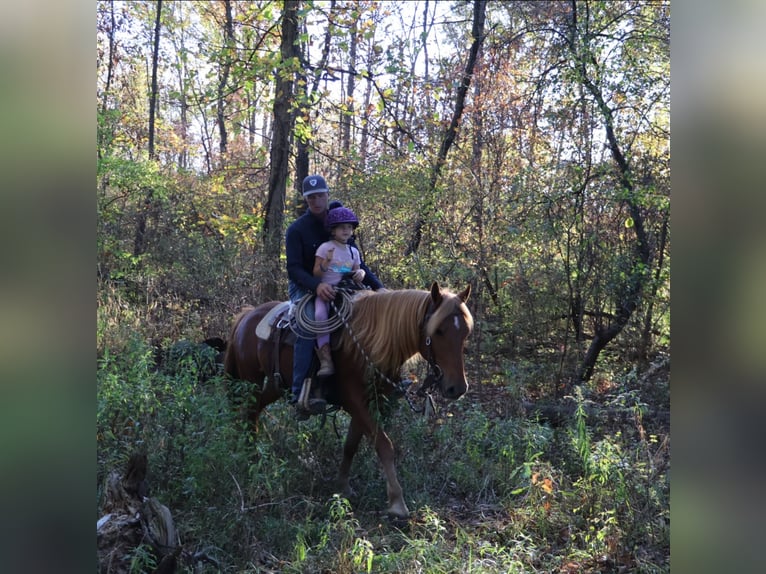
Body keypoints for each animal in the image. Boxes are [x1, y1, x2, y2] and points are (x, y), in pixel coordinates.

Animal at [223, 281, 473, 518]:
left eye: (466, 333)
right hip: (251, 381)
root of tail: (246, 316)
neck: (370, 342)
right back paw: (249, 457)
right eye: (438, 331)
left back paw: (252, 454)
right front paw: (397, 503)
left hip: (276, 384)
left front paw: (342, 486)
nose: (457, 388)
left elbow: (351, 444)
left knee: (255, 410)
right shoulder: (354, 400)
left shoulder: (371, 401)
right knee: (248, 412)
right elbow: (384, 445)